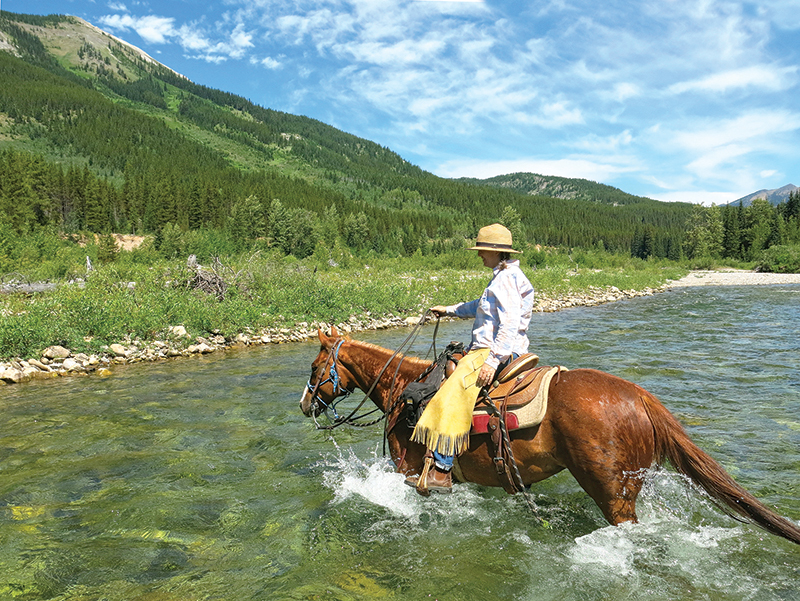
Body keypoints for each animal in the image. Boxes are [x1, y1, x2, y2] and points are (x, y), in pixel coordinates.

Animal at [300, 327, 800, 545]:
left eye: (315, 367)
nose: (305, 405)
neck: (404, 388)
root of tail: (640, 397)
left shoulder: (405, 467)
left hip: (612, 492)